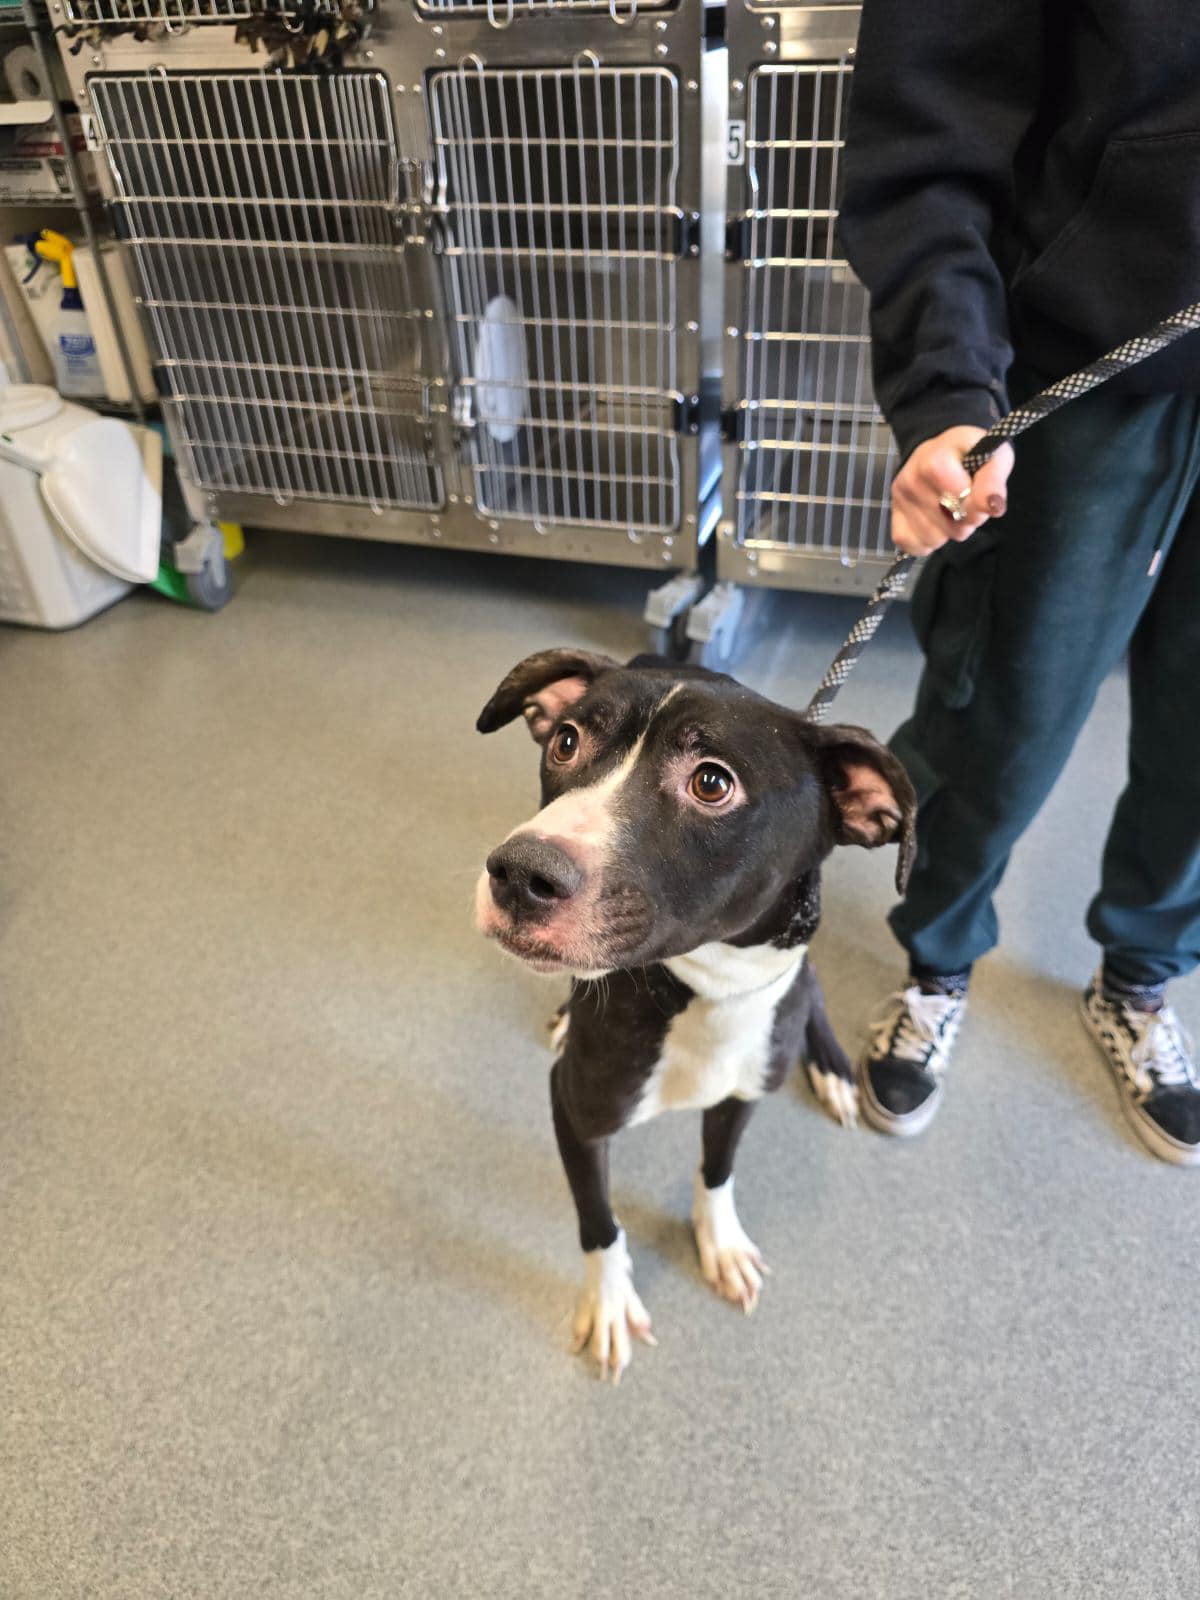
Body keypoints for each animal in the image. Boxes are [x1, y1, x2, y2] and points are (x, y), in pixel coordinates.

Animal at [473, 646, 915, 1376]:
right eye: (566, 741)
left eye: (712, 783)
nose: (516, 872)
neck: (708, 989)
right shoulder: (574, 1109)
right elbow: (600, 1221)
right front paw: (610, 1302)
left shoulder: (741, 1093)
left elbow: (717, 1169)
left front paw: (722, 1242)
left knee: (815, 992)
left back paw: (830, 1068)